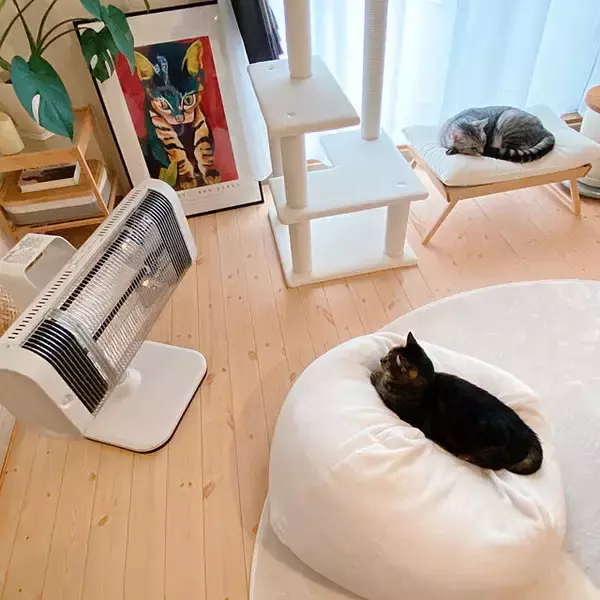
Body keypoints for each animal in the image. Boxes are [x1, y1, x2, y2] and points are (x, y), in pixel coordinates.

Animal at [134, 40, 221, 189]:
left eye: (188, 100)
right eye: (163, 104)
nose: (179, 118)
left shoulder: (199, 120)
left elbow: (203, 148)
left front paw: (210, 172)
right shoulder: (162, 129)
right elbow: (177, 155)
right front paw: (187, 178)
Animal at [370, 333, 543, 474]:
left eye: (388, 360)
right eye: (387, 355)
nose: (380, 359)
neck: (429, 385)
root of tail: (527, 432)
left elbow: (381, 385)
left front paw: (376, 375)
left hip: (486, 449)